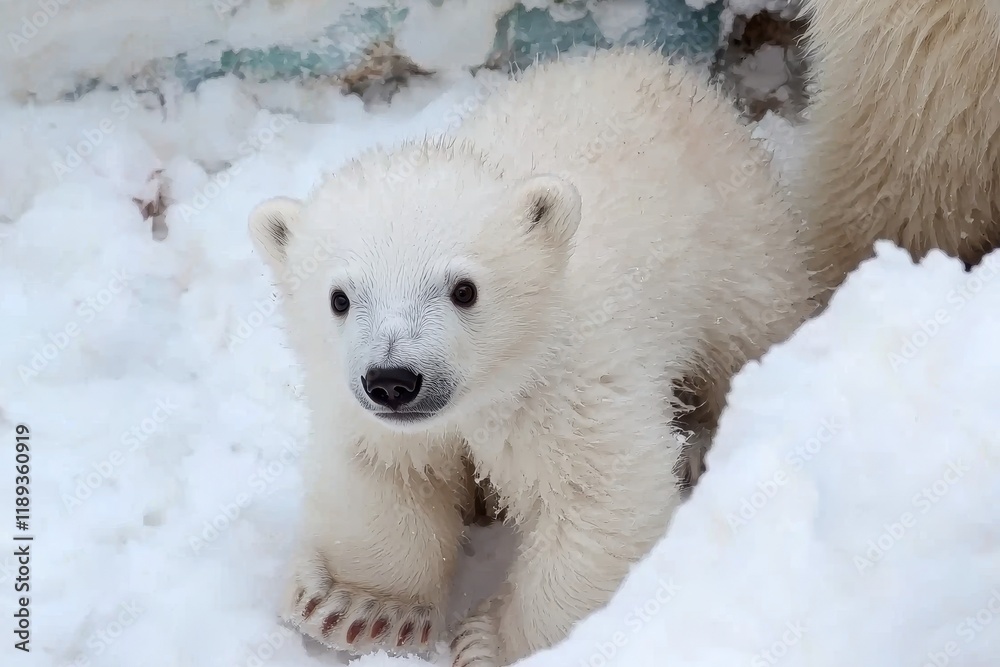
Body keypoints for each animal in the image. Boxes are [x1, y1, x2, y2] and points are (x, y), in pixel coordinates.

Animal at [247, 47, 816, 667]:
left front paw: (490, 642)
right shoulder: (373, 412)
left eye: (464, 289)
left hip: (737, 257)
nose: (394, 381)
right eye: (340, 298)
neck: (494, 383)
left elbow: (598, 496)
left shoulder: (567, 386)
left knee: (744, 343)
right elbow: (384, 471)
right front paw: (360, 608)